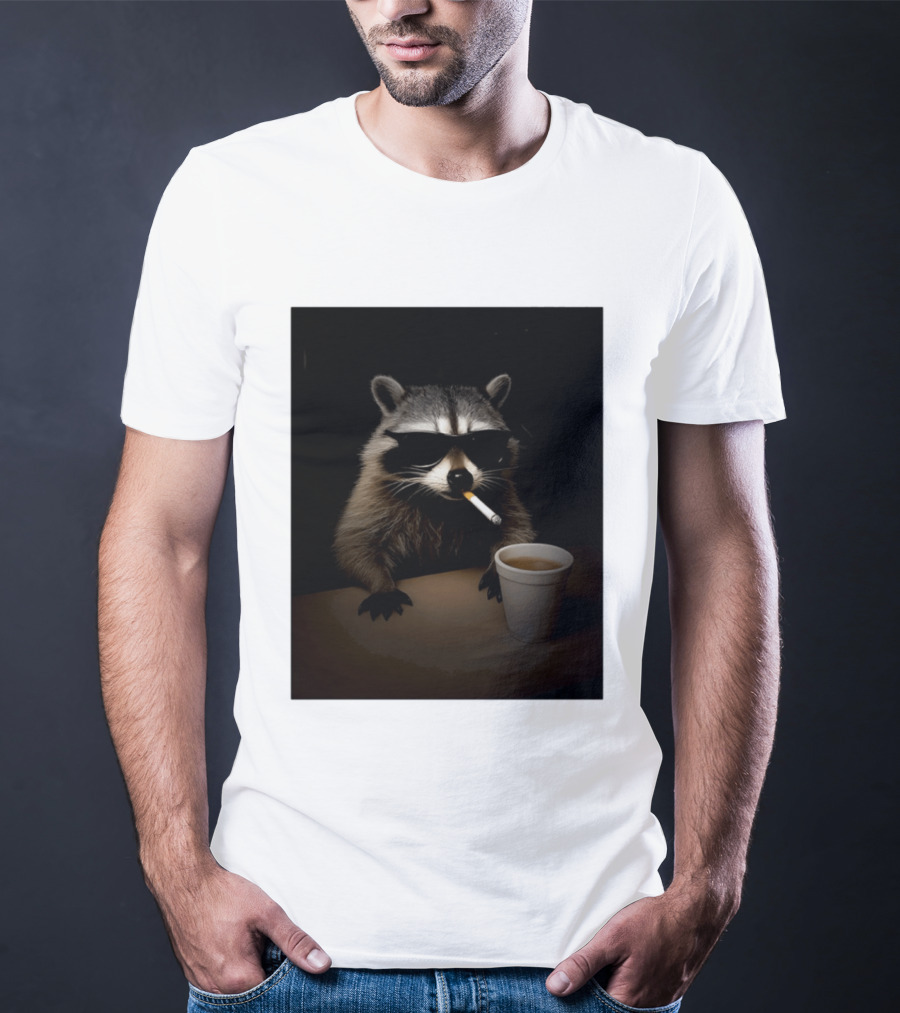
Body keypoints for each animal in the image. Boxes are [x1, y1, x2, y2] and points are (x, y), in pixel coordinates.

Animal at [333, 373, 536, 620]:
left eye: (480, 444)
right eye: (426, 445)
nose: (461, 478)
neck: (442, 502)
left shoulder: (503, 494)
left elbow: (517, 532)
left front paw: (499, 571)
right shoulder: (373, 494)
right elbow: (354, 545)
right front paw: (381, 584)